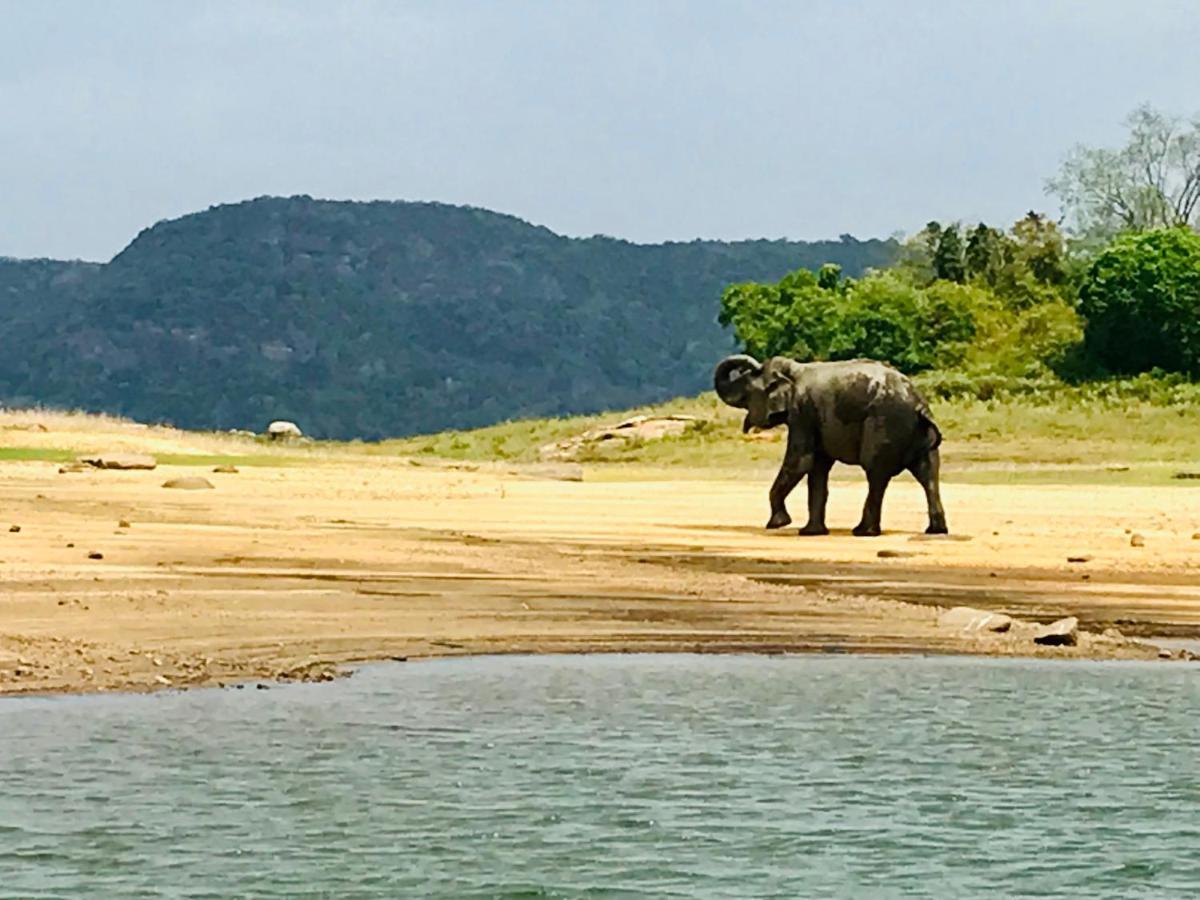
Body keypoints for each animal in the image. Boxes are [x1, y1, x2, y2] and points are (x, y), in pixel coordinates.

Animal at [710, 352, 945, 535]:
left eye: (746, 395)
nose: (747, 366)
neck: (793, 370)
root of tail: (918, 403)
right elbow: (816, 468)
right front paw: (810, 533)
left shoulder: (802, 412)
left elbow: (800, 461)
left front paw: (778, 524)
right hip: (916, 432)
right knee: (928, 472)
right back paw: (935, 530)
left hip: (885, 423)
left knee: (876, 473)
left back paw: (863, 532)